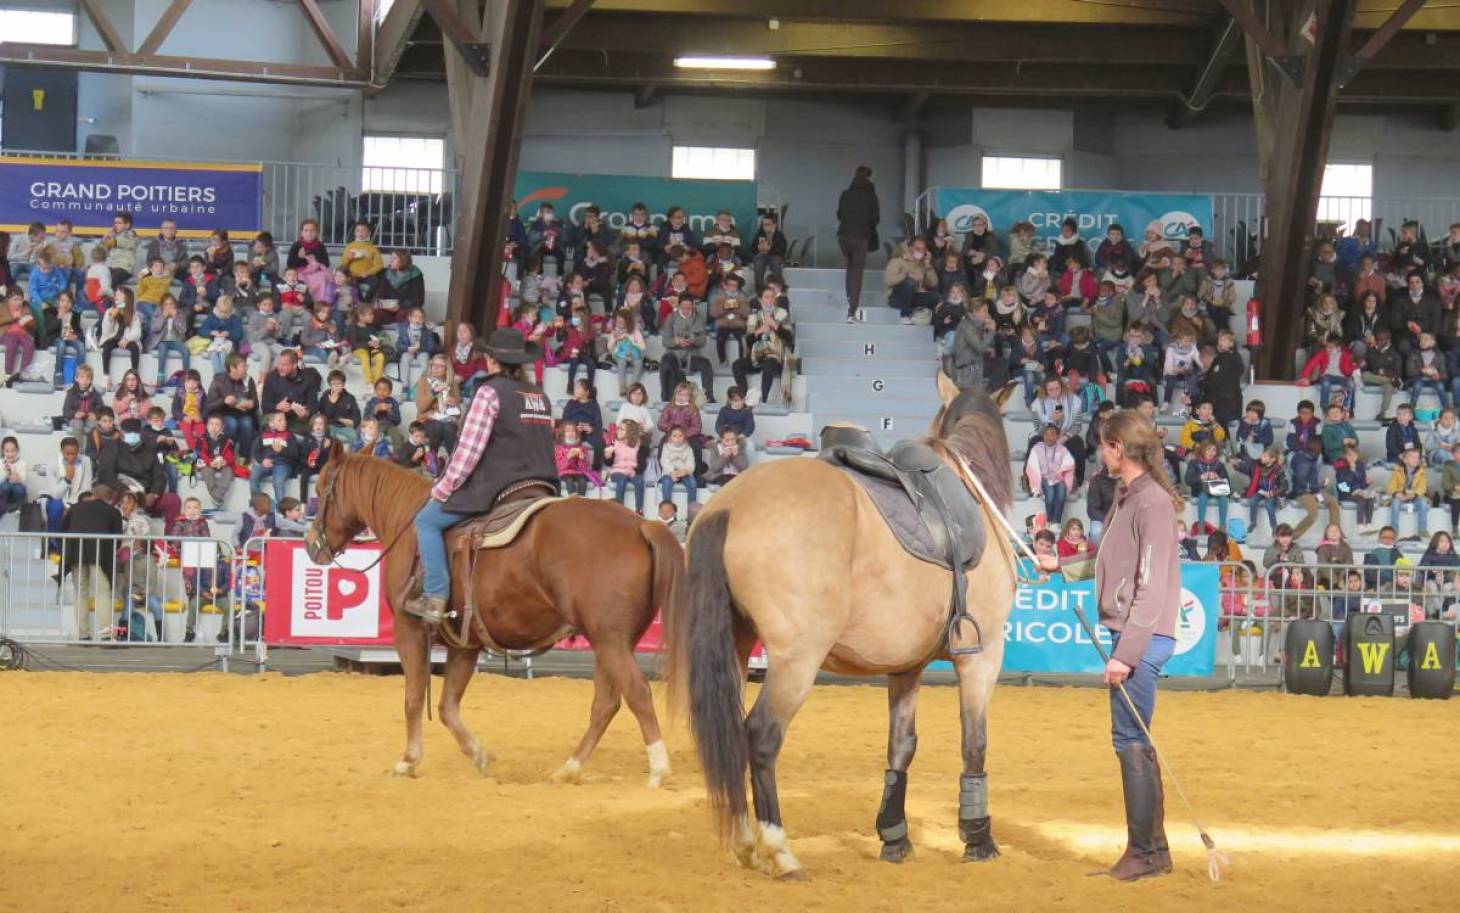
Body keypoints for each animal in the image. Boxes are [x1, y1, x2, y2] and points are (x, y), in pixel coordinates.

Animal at [305, 447, 680, 782]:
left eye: (322, 489)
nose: (311, 544)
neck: (406, 524)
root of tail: (642, 524)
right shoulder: (465, 643)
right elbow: (447, 705)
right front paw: (479, 755)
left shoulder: (407, 629)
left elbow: (413, 697)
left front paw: (408, 761)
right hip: (609, 641)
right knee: (606, 703)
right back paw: (569, 769)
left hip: (610, 640)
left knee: (637, 692)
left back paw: (658, 770)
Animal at [668, 376, 1022, 876]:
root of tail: (730, 506)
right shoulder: (983, 659)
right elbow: (974, 742)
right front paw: (978, 839)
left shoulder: (906, 669)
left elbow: (901, 746)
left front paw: (894, 838)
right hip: (796, 662)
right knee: (761, 735)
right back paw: (779, 848)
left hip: (734, 647)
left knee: (729, 735)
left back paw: (743, 841)